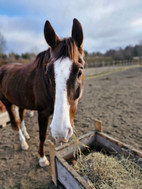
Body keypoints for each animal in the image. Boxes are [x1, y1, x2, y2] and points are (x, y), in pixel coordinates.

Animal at [0, 18, 84, 167]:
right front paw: (42, 159)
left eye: (79, 71)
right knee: (15, 122)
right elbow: (43, 135)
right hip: (7, 102)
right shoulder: (43, 112)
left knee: (21, 116)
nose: (60, 132)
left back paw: (26, 135)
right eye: (48, 72)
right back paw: (23, 143)